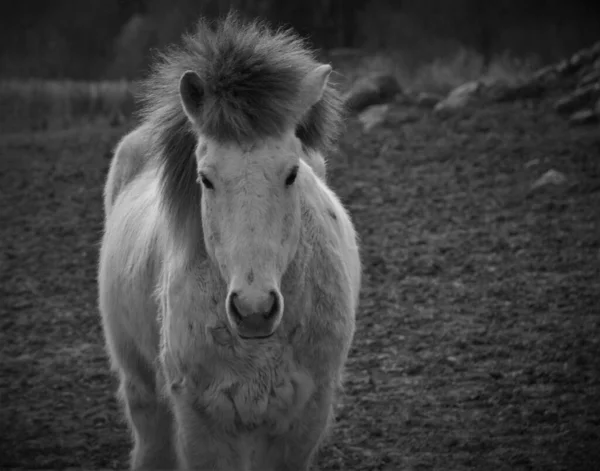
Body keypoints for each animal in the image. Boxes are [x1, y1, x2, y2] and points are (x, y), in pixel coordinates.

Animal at [98, 12, 360, 471]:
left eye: (292, 173)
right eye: (205, 178)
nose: (254, 310)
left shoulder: (303, 421)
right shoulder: (202, 424)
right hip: (141, 387)